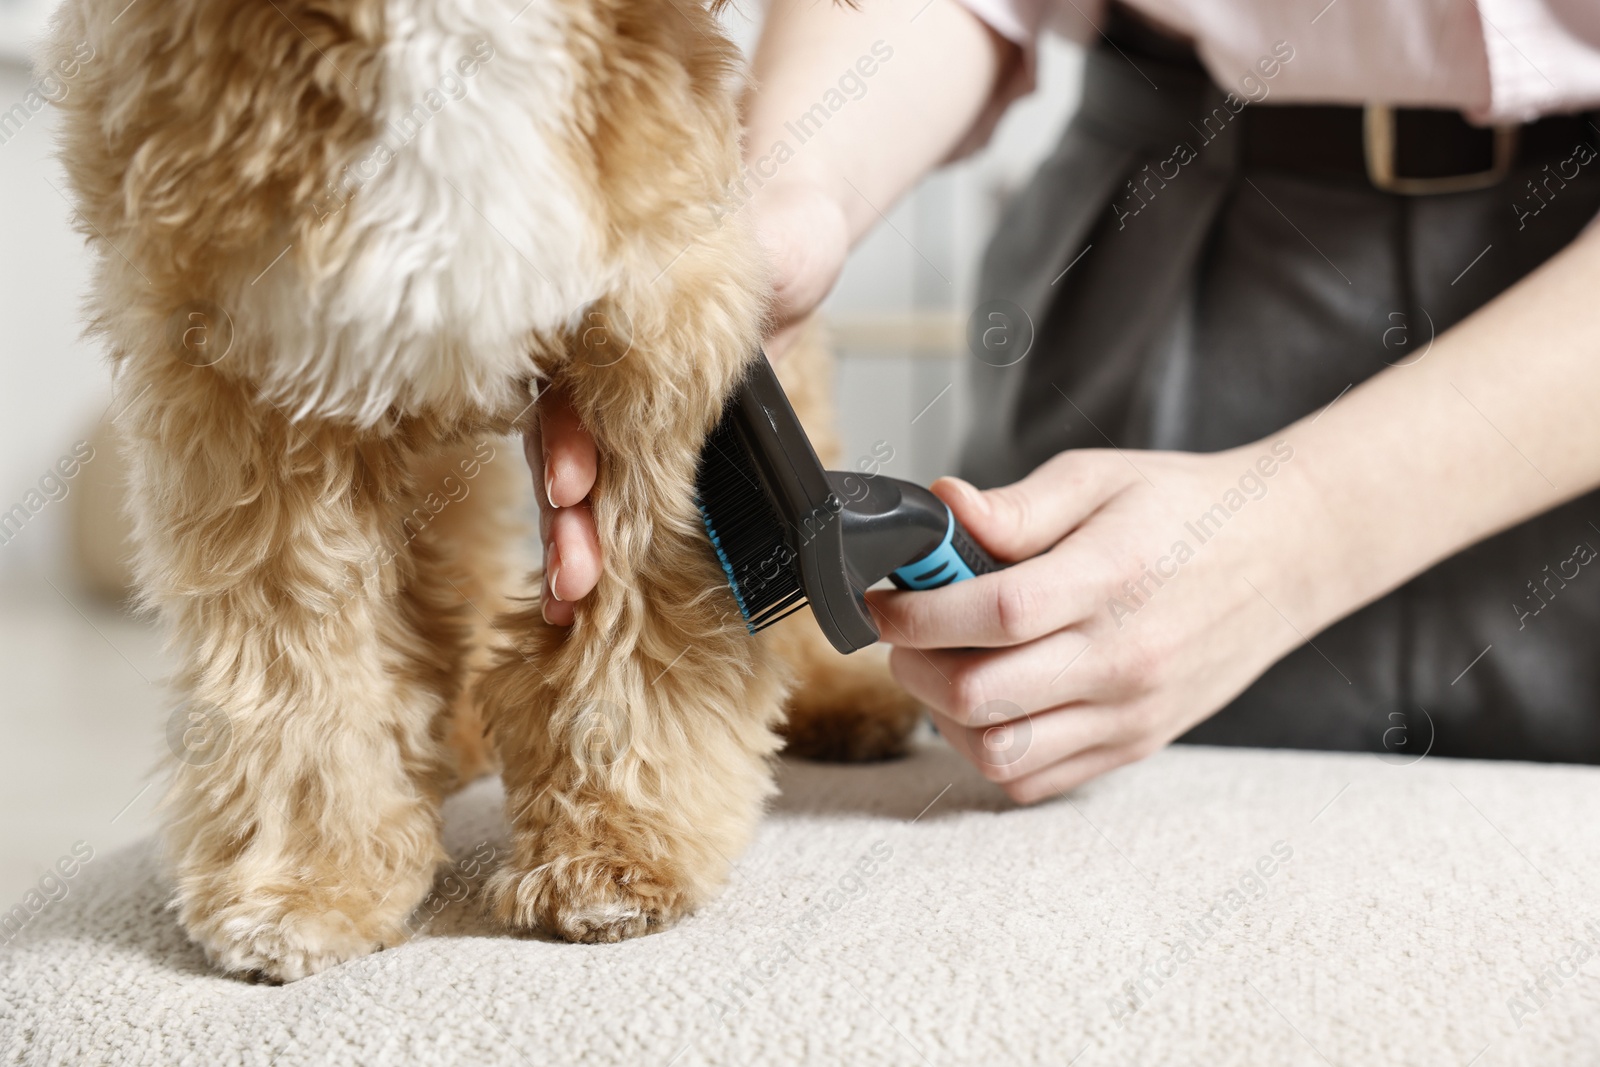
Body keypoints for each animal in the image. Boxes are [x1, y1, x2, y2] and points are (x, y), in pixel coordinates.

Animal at [43, 0, 921, 985]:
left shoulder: (658, 326)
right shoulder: (255, 381)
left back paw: (835, 690)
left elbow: (641, 620)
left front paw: (615, 848)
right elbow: (299, 656)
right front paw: (306, 881)